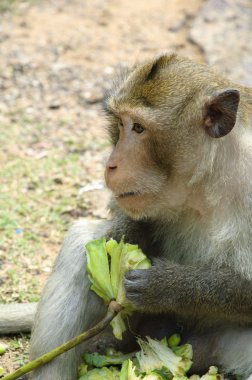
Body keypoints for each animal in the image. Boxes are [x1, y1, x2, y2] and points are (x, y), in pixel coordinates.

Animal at [30, 54, 252, 380]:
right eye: (121, 124)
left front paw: (164, 286)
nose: (111, 164)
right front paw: (122, 242)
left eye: (139, 128)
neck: (207, 180)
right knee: (80, 243)